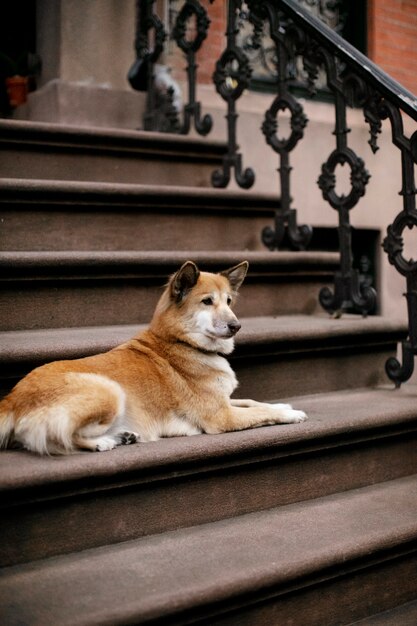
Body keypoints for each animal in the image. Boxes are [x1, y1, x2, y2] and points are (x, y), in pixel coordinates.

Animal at [0, 258, 306, 454]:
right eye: (207, 301)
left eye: (229, 301)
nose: (236, 326)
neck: (181, 342)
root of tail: (11, 399)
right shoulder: (221, 416)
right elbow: (260, 412)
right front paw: (291, 414)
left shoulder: (224, 401)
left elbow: (253, 401)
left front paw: (282, 405)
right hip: (108, 389)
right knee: (57, 439)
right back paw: (103, 443)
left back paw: (121, 436)